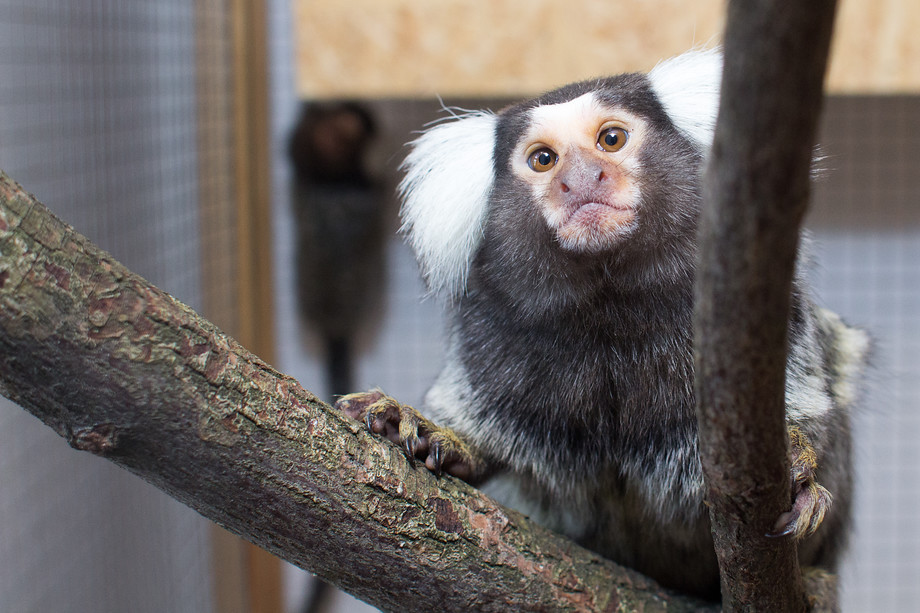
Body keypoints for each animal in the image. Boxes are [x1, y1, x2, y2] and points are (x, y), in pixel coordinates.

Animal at [336, 49, 868, 596]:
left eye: (610, 139)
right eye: (543, 159)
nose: (582, 179)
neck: (608, 308)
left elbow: (811, 405)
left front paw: (799, 466)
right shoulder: (487, 343)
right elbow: (484, 437)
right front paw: (430, 433)